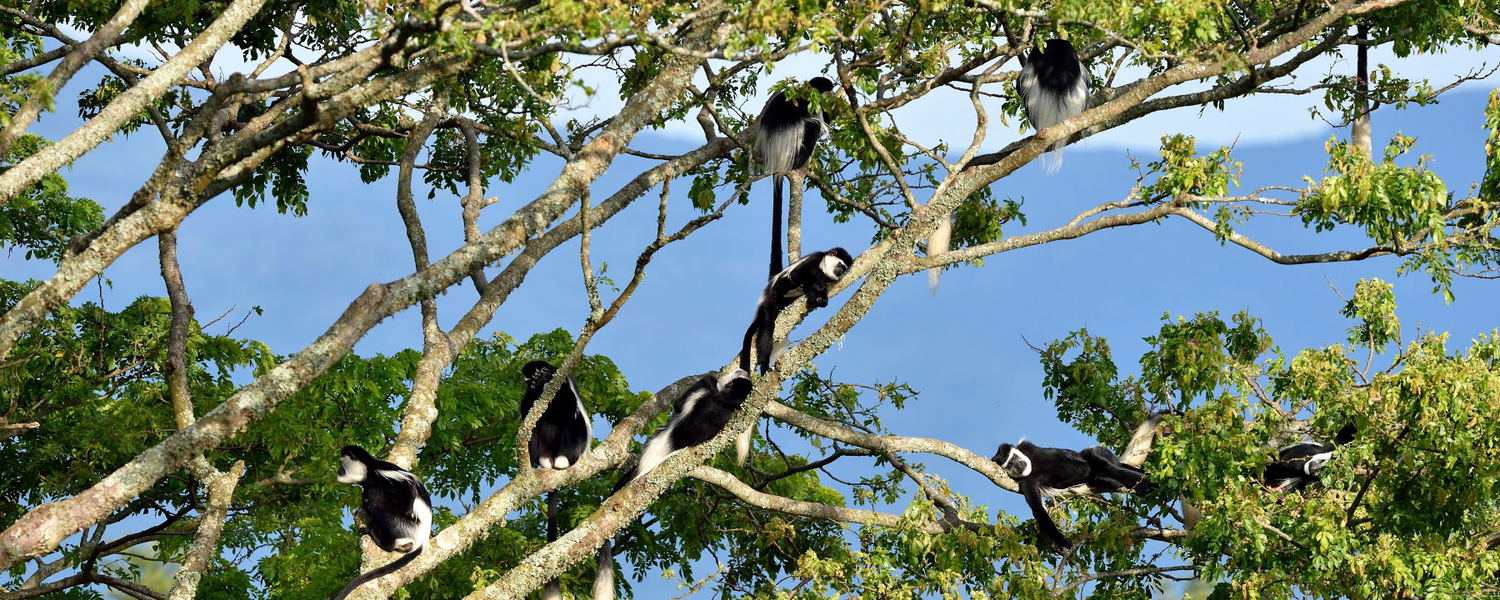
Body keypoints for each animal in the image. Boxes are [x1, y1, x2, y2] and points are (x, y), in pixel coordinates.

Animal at [333, 445, 432, 600]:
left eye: (341, 465)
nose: (338, 471)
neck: (368, 471)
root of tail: (423, 537)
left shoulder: (381, 471)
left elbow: (408, 484)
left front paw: (408, 510)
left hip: (406, 526)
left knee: (379, 500)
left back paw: (383, 540)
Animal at [519, 360, 594, 600]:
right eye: (528, 375)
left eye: (541, 370)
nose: (536, 377)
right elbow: (526, 410)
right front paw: (533, 389)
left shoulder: (563, 380)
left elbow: (567, 406)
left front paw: (543, 382)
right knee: (533, 426)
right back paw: (544, 461)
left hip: (575, 444)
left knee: (572, 418)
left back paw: (562, 461)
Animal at [739, 247, 854, 377]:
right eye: (840, 265)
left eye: (844, 269)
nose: (840, 272)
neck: (823, 269)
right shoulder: (815, 258)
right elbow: (796, 275)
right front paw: (816, 286)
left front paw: (820, 298)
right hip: (775, 297)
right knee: (768, 325)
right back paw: (764, 364)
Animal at [991, 441, 1155, 549]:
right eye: (1009, 465)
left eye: (1013, 458)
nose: (1018, 465)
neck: (1033, 467)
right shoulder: (1026, 483)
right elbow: (1037, 509)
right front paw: (1062, 541)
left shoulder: (1028, 447)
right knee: (1103, 475)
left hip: (1099, 455)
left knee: (1105, 463)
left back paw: (1149, 482)